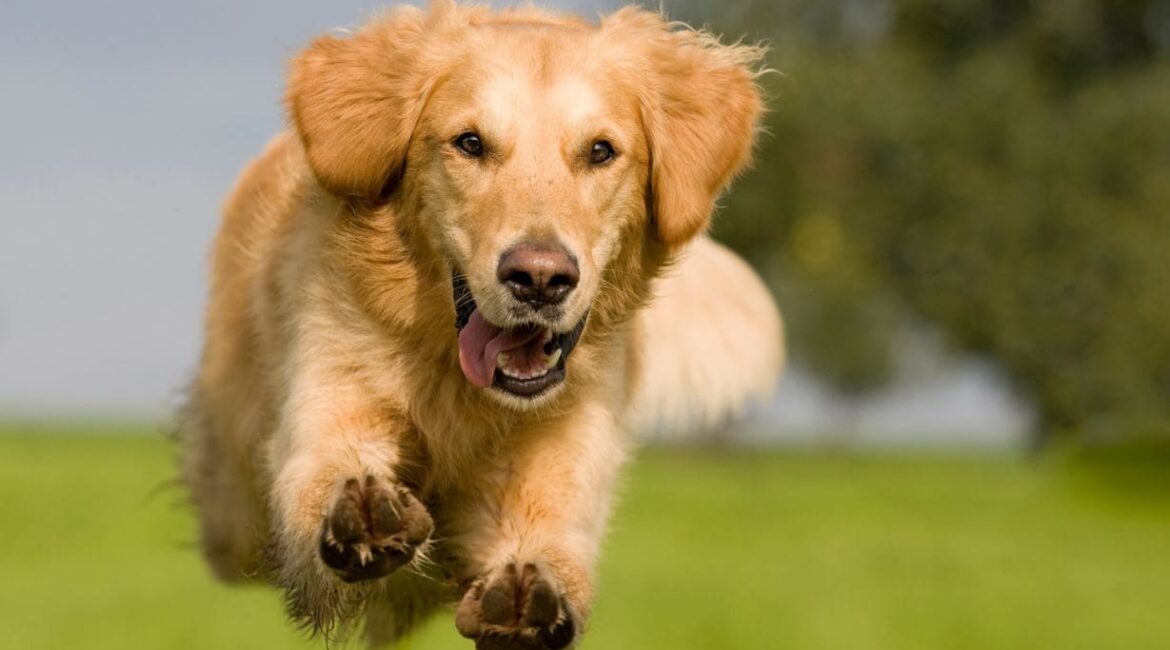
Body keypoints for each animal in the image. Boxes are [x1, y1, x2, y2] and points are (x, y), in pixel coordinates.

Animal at [180, 2, 786, 645]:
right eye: (469, 143)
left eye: (601, 151)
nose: (540, 279)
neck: (460, 393)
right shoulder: (325, 398)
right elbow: (321, 475)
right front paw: (359, 515)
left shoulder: (561, 460)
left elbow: (549, 544)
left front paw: (530, 598)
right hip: (232, 505)